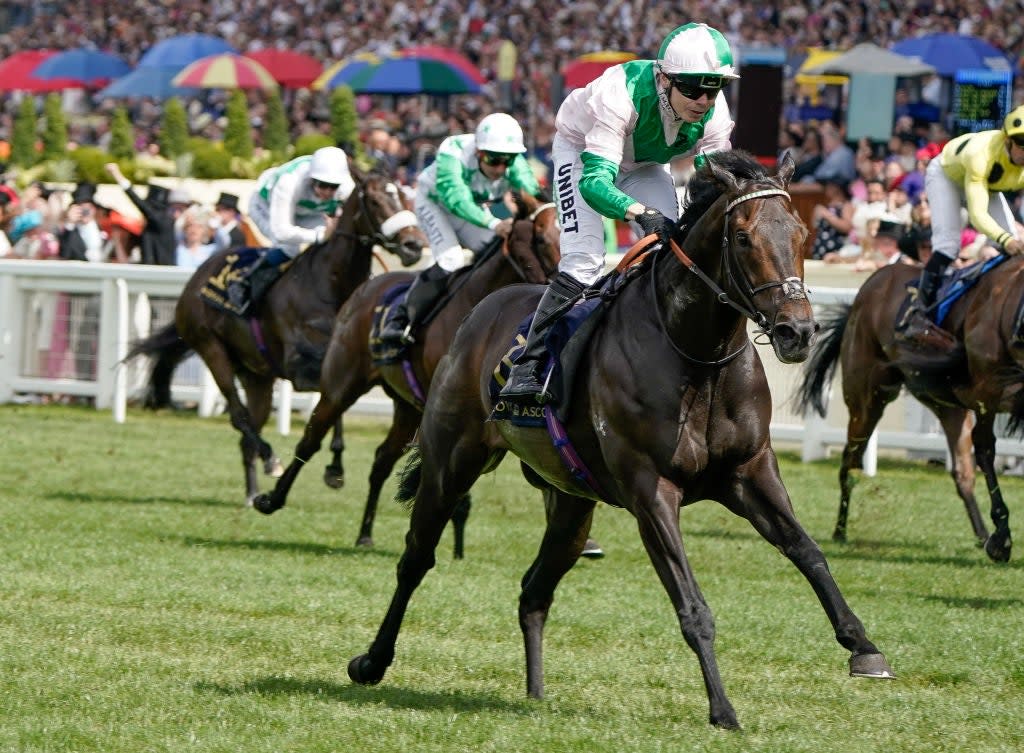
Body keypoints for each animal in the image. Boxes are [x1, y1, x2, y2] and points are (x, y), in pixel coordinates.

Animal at [126, 170, 423, 499]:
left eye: (405, 196)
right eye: (374, 200)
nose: (413, 245)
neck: (332, 287)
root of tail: (196, 278)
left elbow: (335, 411)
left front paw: (335, 467)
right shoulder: (306, 367)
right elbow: (331, 408)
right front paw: (333, 467)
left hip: (257, 375)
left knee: (249, 428)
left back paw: (253, 492)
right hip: (211, 348)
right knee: (239, 415)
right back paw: (270, 460)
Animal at [253, 191, 561, 557]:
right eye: (541, 238)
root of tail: (366, 287)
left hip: (408, 407)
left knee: (381, 461)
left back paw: (365, 533)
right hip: (342, 385)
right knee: (312, 438)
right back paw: (273, 498)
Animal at [344, 151, 888, 729]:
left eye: (803, 233)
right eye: (743, 237)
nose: (797, 332)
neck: (698, 357)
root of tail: (481, 311)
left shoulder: (750, 472)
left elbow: (808, 551)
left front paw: (863, 647)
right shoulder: (652, 491)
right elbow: (692, 605)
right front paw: (722, 709)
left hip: (569, 502)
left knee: (534, 590)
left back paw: (535, 693)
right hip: (451, 461)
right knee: (415, 559)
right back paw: (372, 661)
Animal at [790, 259, 1015, 561]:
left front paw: (998, 538)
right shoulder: (988, 391)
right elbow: (986, 448)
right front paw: (1002, 539)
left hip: (947, 407)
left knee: (962, 471)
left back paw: (982, 534)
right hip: (868, 399)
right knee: (850, 462)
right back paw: (840, 530)